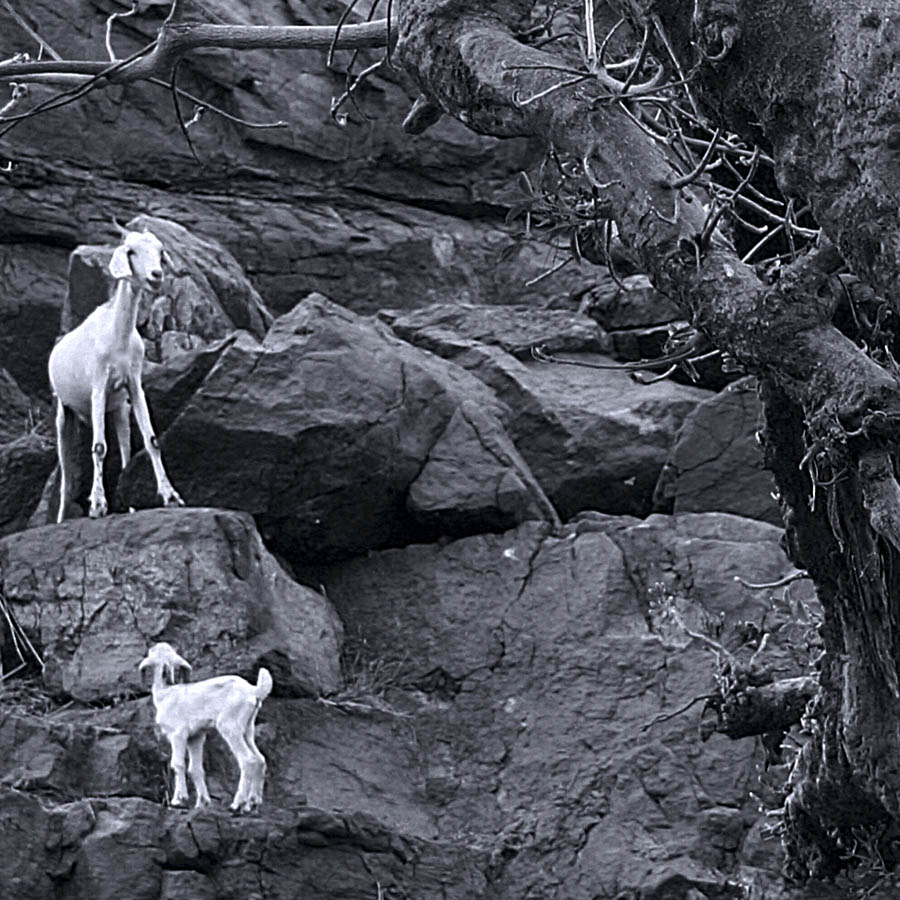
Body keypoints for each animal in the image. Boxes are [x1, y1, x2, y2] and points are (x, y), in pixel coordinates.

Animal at [48, 226, 183, 522]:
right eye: (130, 251)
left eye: (160, 251)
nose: (156, 275)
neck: (116, 337)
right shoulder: (98, 386)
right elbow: (99, 447)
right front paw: (98, 506)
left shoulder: (133, 385)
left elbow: (151, 441)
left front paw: (171, 497)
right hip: (64, 413)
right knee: (66, 476)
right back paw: (62, 518)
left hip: (119, 410)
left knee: (124, 453)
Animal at [139, 642, 273, 813]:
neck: (165, 693)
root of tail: (253, 691)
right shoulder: (195, 737)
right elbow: (195, 769)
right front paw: (202, 803)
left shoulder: (178, 734)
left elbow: (178, 764)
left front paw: (178, 800)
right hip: (247, 729)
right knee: (260, 759)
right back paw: (252, 803)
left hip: (229, 727)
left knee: (248, 760)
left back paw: (237, 804)